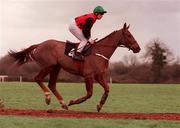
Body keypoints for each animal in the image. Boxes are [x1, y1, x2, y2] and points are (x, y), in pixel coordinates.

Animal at [8, 23, 141, 112]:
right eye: (129, 35)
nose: (138, 48)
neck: (100, 51)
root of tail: (39, 44)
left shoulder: (98, 75)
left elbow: (107, 89)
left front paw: (99, 105)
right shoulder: (89, 76)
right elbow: (89, 94)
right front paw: (73, 102)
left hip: (56, 67)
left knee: (52, 84)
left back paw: (63, 104)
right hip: (49, 66)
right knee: (38, 78)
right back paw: (48, 97)